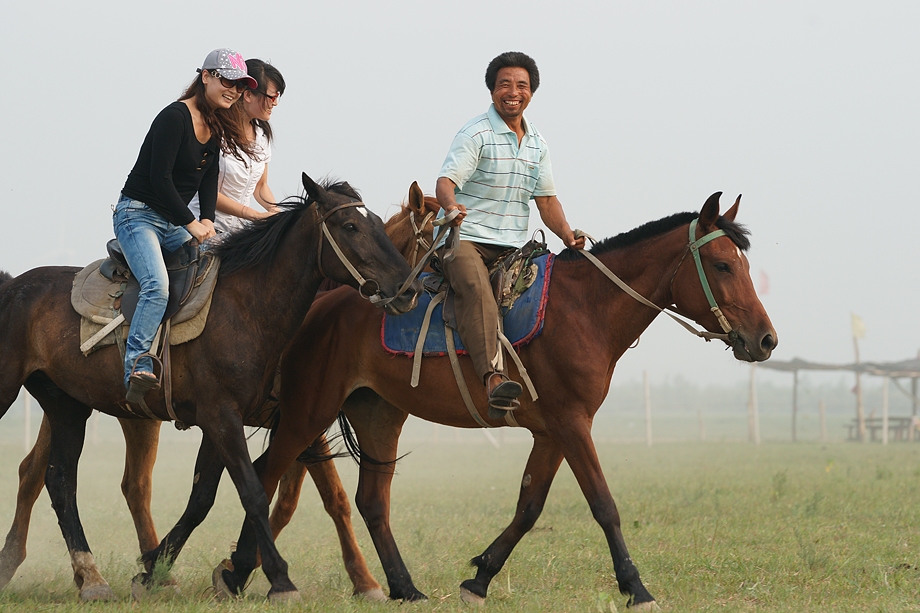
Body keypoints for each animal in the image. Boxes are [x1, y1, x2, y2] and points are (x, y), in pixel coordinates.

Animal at [0, 179, 442, 596]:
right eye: (350, 225)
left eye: (378, 226)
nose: (408, 290)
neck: (245, 306)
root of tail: (14, 285)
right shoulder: (235, 419)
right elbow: (261, 492)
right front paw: (282, 579)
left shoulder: (237, 421)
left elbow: (207, 498)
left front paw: (157, 569)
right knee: (69, 479)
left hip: (70, 405)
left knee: (59, 480)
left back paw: (89, 577)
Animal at [219, 190, 780, 608]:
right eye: (722, 265)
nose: (766, 339)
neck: (586, 309)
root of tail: (321, 304)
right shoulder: (572, 424)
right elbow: (604, 504)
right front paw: (636, 587)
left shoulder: (552, 431)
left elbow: (529, 507)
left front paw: (480, 577)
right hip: (308, 413)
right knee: (265, 475)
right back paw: (248, 574)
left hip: (379, 413)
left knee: (368, 500)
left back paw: (401, 588)